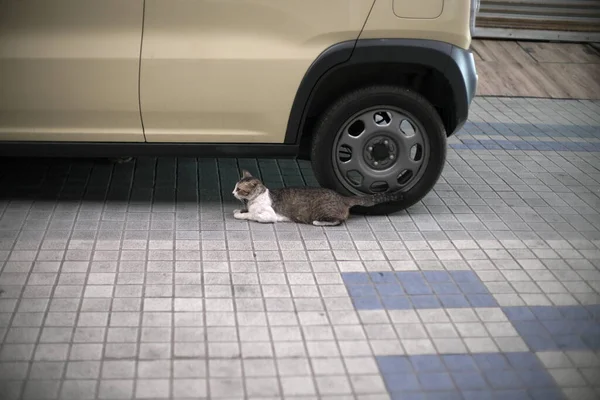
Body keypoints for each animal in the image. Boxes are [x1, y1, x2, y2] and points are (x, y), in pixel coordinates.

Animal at [232, 169, 400, 225]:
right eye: (235, 187)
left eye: (239, 189)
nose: (232, 193)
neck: (253, 200)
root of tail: (342, 197)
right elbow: (245, 210)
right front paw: (239, 210)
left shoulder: (268, 215)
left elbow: (252, 215)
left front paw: (241, 214)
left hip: (323, 212)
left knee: (338, 221)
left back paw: (319, 222)